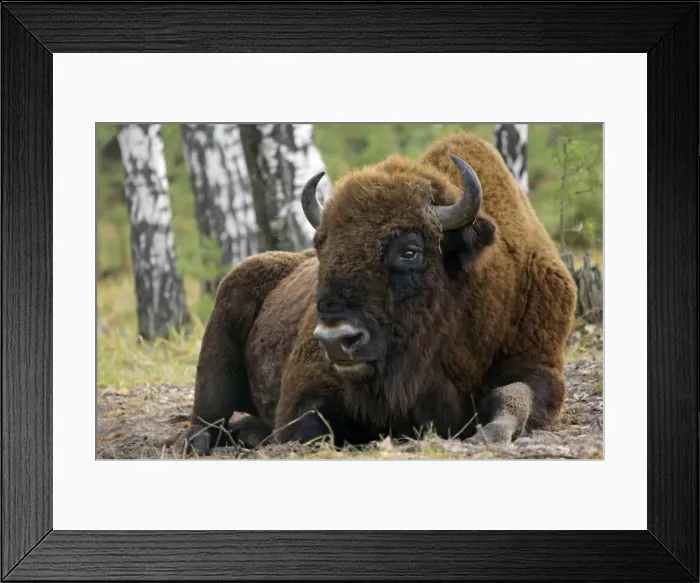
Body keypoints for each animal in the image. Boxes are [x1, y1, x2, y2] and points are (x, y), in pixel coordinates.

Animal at [181, 132, 577, 455]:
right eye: (321, 246)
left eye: (410, 251)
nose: (335, 339)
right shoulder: (307, 390)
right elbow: (307, 426)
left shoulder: (540, 368)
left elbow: (513, 396)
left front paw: (487, 435)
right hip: (216, 355)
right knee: (206, 417)